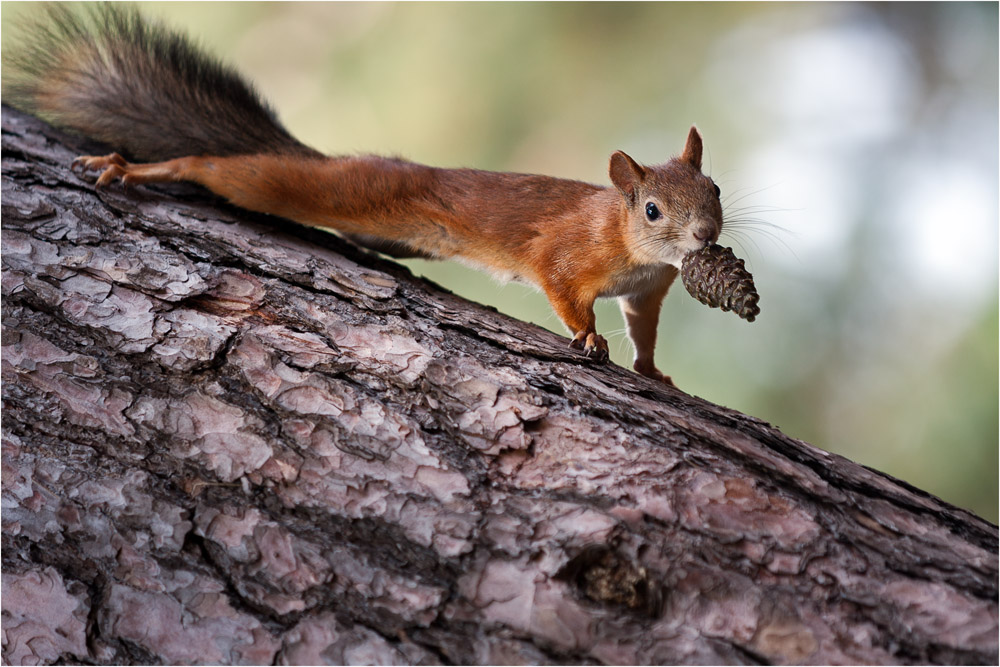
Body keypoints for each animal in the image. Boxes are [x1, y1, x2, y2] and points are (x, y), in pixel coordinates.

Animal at [3, 3, 724, 386]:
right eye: (652, 209)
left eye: (713, 186)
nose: (705, 236)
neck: (633, 246)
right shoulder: (567, 252)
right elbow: (565, 290)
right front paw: (589, 338)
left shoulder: (647, 292)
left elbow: (645, 329)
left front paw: (652, 370)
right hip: (303, 186)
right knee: (217, 167)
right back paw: (132, 167)